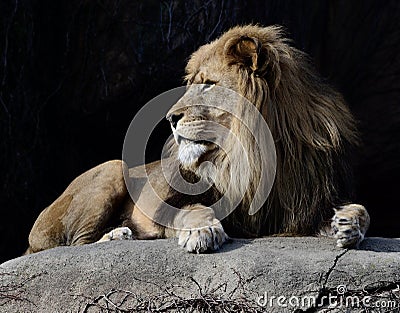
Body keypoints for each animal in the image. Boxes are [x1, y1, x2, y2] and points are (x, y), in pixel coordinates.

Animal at [24, 24, 368, 254]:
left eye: (208, 84)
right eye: (192, 84)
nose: (170, 118)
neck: (254, 152)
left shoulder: (302, 208)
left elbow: (360, 209)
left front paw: (349, 224)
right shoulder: (172, 205)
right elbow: (195, 208)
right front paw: (202, 231)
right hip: (112, 166)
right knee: (75, 243)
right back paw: (117, 235)